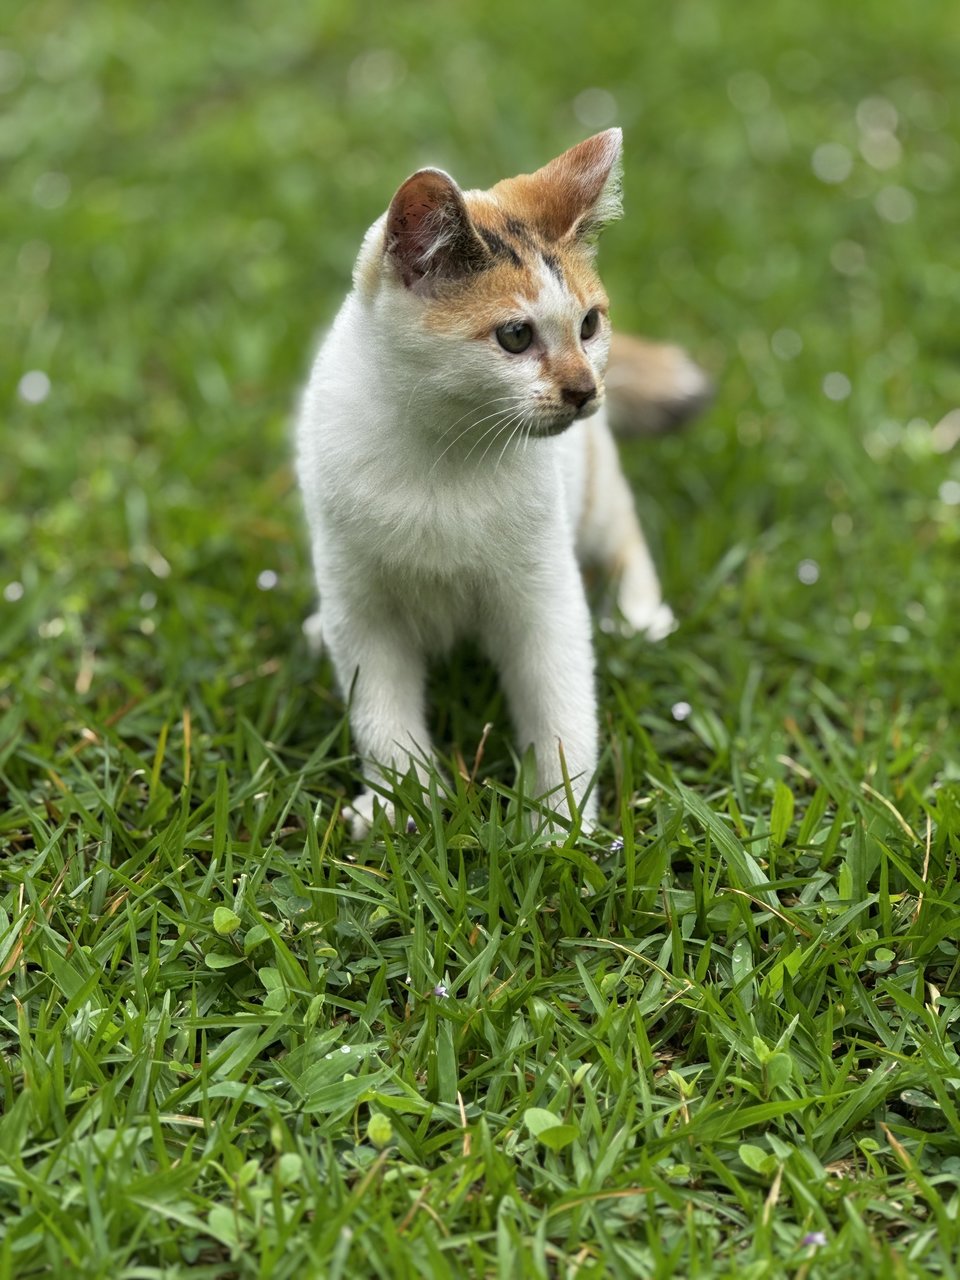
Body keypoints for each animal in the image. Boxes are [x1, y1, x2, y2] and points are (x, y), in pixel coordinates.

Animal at [296, 127, 711, 829]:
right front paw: (400, 803)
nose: (584, 389)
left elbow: (561, 705)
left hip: (593, 491)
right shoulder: (361, 605)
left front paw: (561, 825)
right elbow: (380, 711)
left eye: (589, 324)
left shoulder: (544, 596)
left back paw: (639, 615)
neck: (445, 455)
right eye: (516, 336)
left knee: (623, 531)